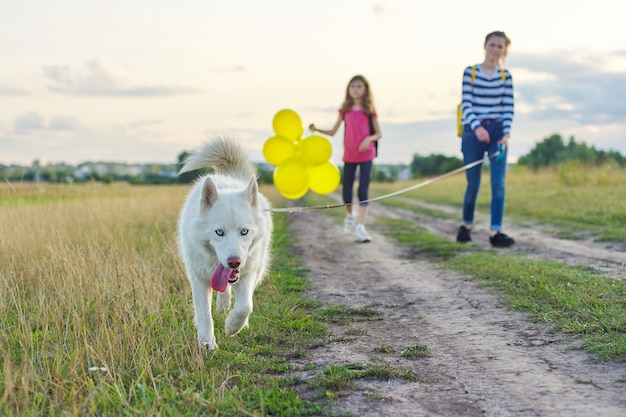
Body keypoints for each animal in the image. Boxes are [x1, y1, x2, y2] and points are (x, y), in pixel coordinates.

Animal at [177, 136, 272, 348]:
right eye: (219, 232)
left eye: (244, 231)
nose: (234, 262)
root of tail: (231, 179)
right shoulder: (198, 278)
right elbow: (204, 314)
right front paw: (207, 344)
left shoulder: (247, 272)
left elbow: (245, 305)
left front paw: (233, 326)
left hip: (258, 267)